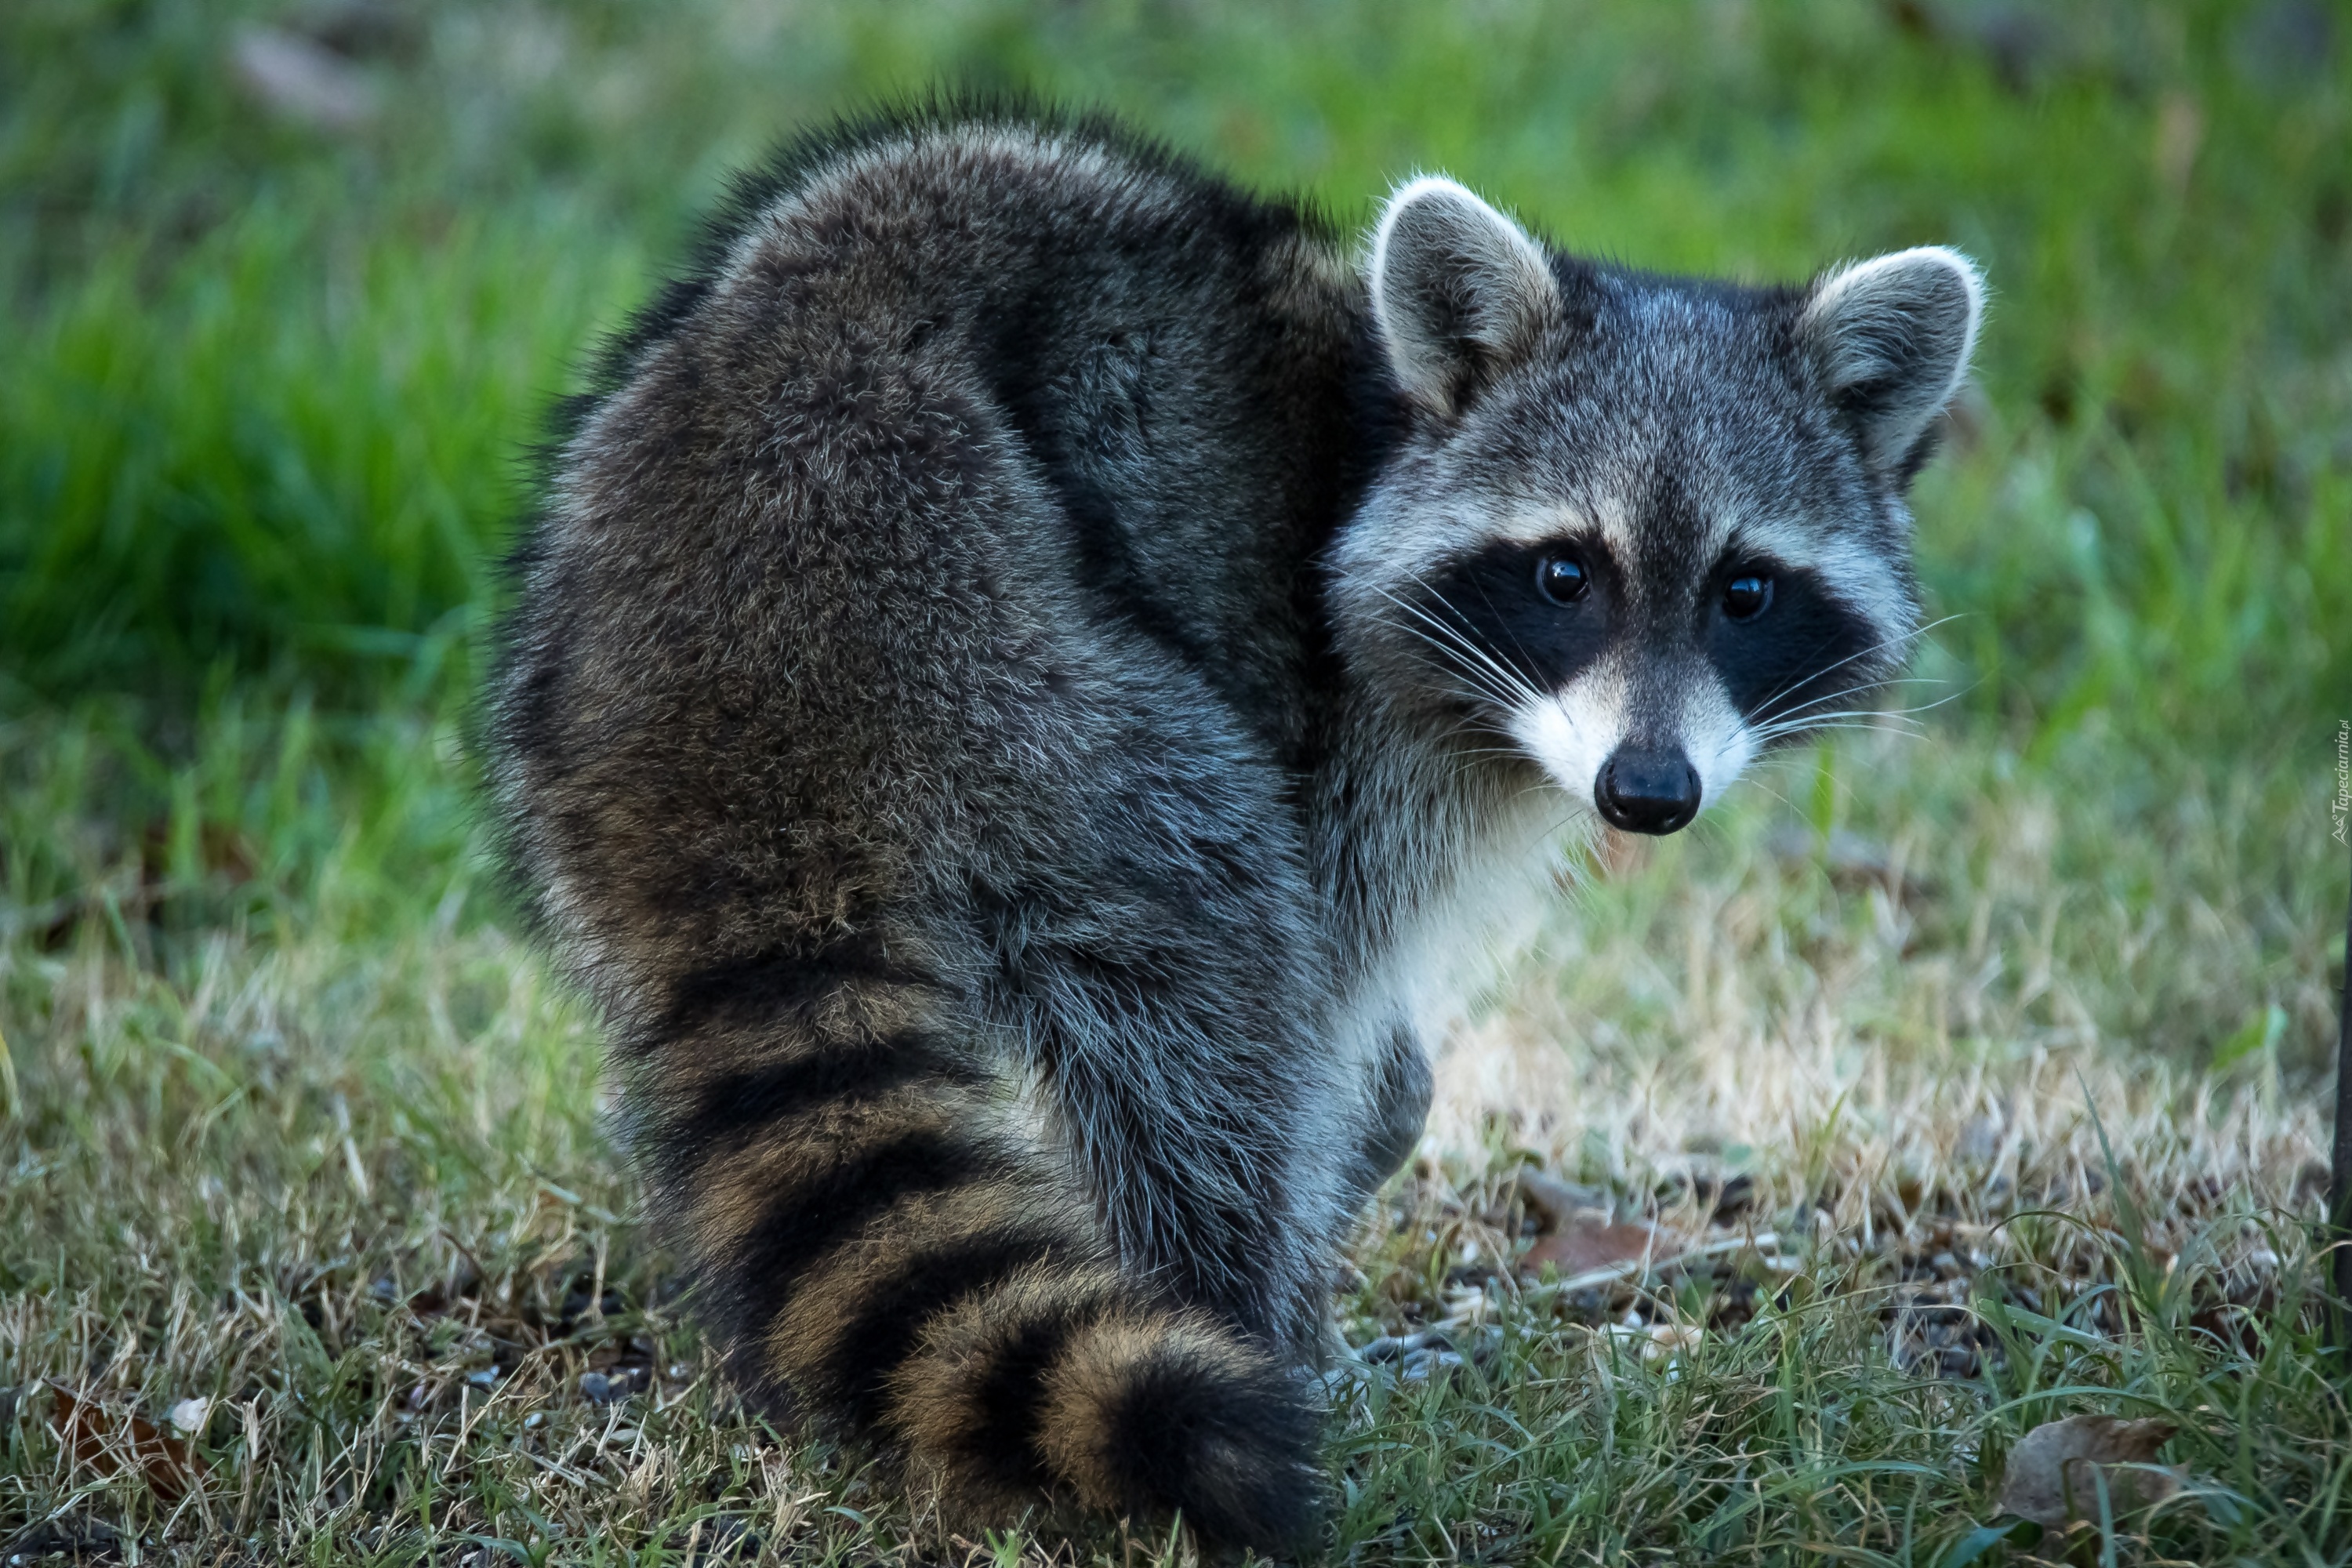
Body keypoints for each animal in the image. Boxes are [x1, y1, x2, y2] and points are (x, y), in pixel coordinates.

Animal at [487, 100, 1976, 1561]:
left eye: (1745, 592)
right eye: (1567, 573)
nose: (1647, 796)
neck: (1384, 428)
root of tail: (728, 668)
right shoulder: (1341, 718)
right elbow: (1321, 993)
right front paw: (1346, 1179)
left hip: (567, 714)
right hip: (1000, 633)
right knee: (1206, 963)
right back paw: (1237, 1315)